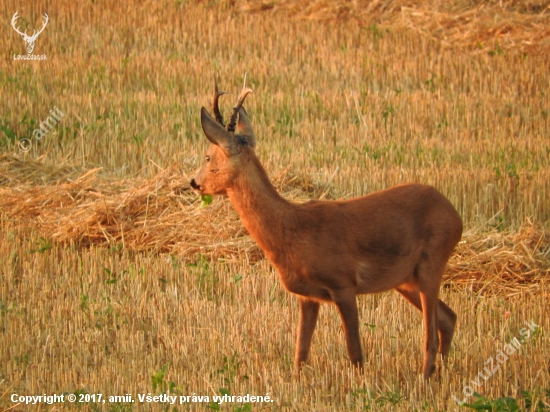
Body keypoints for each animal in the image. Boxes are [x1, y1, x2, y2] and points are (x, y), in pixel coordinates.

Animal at [192, 78, 464, 380]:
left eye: (207, 157)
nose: (194, 182)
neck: (293, 231)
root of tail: (455, 215)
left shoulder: (343, 283)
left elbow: (355, 352)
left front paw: (360, 384)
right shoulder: (307, 296)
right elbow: (301, 352)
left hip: (432, 261)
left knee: (431, 331)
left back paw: (426, 376)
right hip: (406, 279)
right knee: (448, 318)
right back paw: (442, 372)